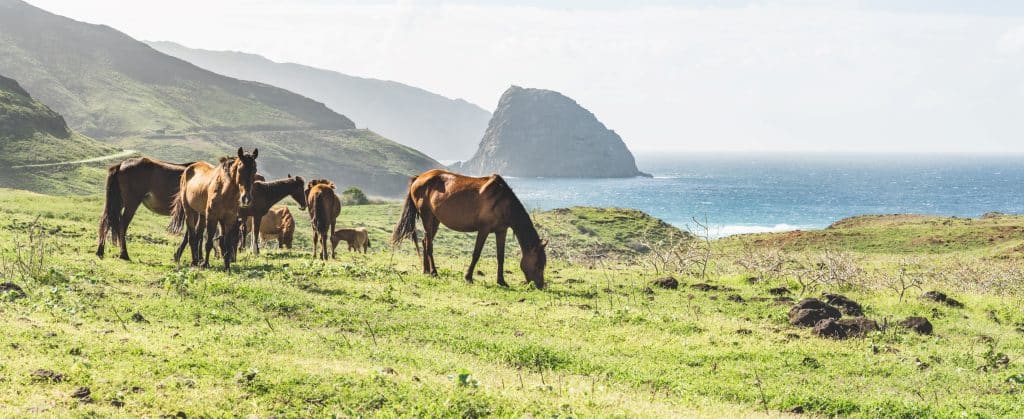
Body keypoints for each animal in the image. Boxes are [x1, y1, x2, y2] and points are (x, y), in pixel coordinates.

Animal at [391, 169, 548, 289]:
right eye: (538, 264)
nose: (540, 285)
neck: (502, 202)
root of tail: (418, 178)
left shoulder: (501, 231)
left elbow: (500, 257)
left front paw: (501, 281)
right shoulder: (484, 229)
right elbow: (476, 254)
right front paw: (468, 277)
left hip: (435, 220)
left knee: (424, 242)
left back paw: (426, 270)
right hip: (427, 218)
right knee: (429, 245)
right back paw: (434, 272)